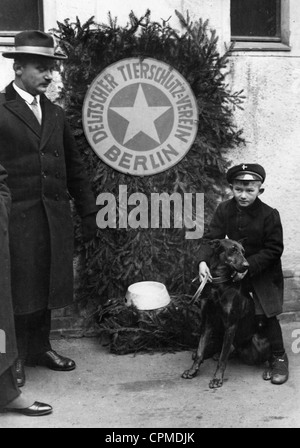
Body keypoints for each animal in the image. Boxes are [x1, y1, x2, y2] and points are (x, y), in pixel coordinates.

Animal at [182, 238, 270, 388]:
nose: (247, 265)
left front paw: (217, 378)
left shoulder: (231, 325)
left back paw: (270, 369)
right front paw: (192, 370)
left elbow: (223, 359)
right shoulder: (207, 321)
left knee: (268, 356)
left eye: (243, 252)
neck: (219, 284)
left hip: (260, 341)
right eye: (233, 249)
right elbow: (200, 350)